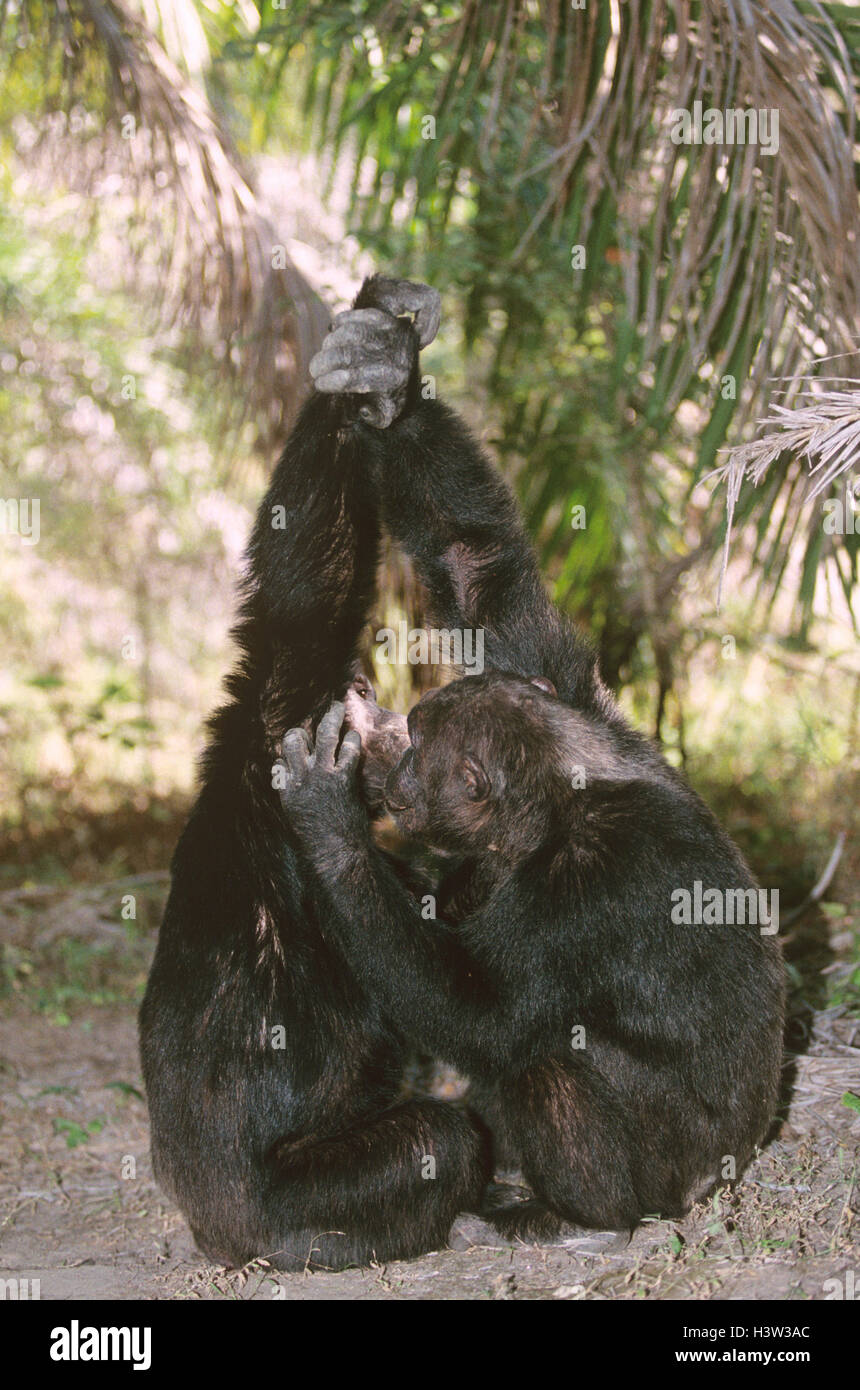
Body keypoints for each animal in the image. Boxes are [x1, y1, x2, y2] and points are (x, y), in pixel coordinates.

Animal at [138, 273, 494, 1273]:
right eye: (362, 696)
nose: (395, 720)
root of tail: (210, 1231)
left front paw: (377, 361)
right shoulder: (279, 710)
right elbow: (303, 594)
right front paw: (366, 373)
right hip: (292, 1204)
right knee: (434, 1142)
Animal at [277, 296, 789, 1239]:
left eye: (420, 746)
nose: (391, 734)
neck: (555, 802)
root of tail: (731, 1171)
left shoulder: (590, 885)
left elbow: (485, 1011)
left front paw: (328, 818)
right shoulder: (569, 688)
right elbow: (478, 567)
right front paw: (383, 382)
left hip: (670, 1179)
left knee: (549, 1062)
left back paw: (565, 1211)